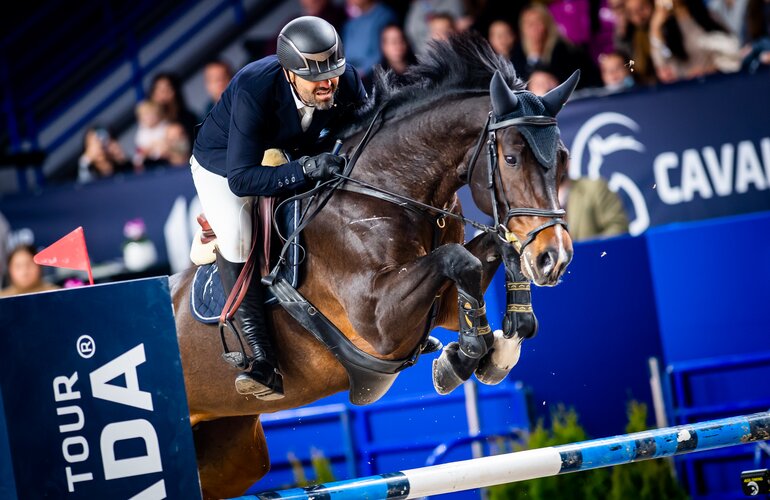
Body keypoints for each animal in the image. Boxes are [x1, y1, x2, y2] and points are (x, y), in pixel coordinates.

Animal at [170, 33, 577, 499]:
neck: (385, 190)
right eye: (511, 159)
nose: (555, 258)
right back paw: (258, 371)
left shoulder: (441, 305)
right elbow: (461, 261)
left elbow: (489, 255)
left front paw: (498, 350)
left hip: (231, 451)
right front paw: (462, 359)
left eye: (562, 158)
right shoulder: (379, 325)